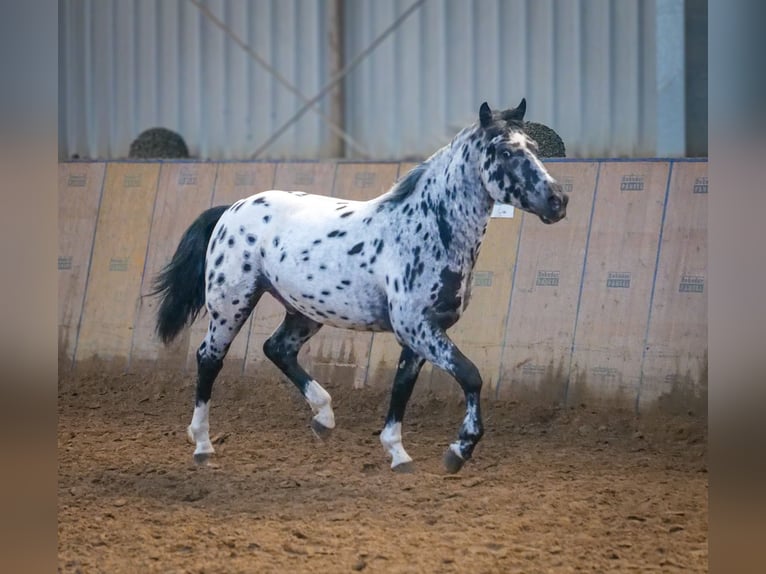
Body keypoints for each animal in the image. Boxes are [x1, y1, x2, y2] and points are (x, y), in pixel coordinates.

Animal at [152, 100, 568, 476]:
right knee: (209, 359)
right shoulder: (418, 329)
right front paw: (458, 451)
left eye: (534, 147)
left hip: (303, 311)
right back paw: (203, 446)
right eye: (505, 151)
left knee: (277, 349)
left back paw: (323, 419)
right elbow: (471, 376)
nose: (558, 201)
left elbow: (402, 388)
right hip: (231, 304)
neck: (427, 230)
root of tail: (231, 209)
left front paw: (398, 454)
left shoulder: (420, 334)